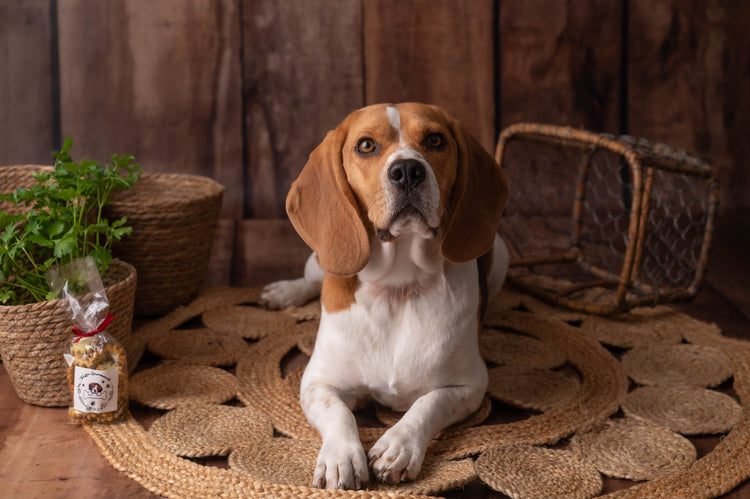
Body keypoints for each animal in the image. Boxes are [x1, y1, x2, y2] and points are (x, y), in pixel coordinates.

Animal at [262, 103, 512, 490]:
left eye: (435, 140)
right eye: (366, 145)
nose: (407, 170)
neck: (398, 287)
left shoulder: (469, 386)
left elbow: (428, 404)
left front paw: (399, 445)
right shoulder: (316, 381)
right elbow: (340, 413)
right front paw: (341, 457)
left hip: (500, 255)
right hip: (319, 260)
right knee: (309, 278)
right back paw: (285, 291)